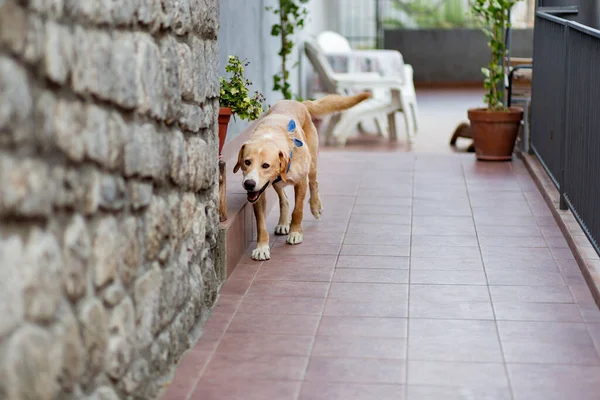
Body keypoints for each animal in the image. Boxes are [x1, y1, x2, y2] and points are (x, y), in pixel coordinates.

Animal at [233, 92, 370, 260]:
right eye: (246, 162)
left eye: (265, 165)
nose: (249, 184)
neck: (271, 135)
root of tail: (300, 103)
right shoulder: (259, 193)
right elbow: (261, 224)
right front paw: (262, 247)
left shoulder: (300, 182)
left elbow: (298, 210)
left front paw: (295, 233)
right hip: (277, 183)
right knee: (284, 199)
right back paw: (283, 223)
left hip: (312, 164)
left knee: (314, 183)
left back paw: (315, 207)